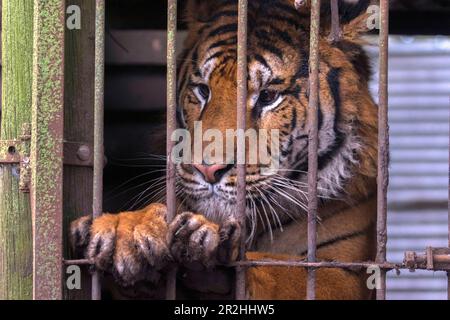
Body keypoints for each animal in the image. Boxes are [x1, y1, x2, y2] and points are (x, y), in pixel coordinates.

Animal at [71, 0, 380, 300]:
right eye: (203, 90)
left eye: (268, 96)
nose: (208, 169)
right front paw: (126, 230)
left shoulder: (342, 275)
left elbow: (276, 269)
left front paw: (210, 258)